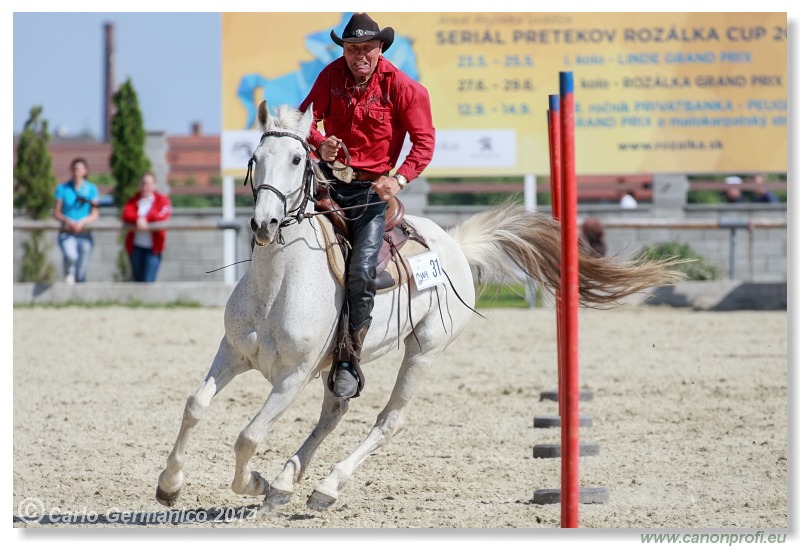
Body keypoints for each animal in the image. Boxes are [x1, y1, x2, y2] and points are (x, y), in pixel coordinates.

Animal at [155, 100, 676, 512]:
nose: (264, 223)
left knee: (389, 420)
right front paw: (170, 485)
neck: (278, 284)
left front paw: (254, 482)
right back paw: (288, 480)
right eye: (254, 158)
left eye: (299, 158)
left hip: (424, 350)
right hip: (342, 362)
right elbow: (195, 406)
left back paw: (323, 487)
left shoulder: (291, 378)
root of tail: (455, 246)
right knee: (334, 412)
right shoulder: (232, 353)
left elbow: (248, 435)